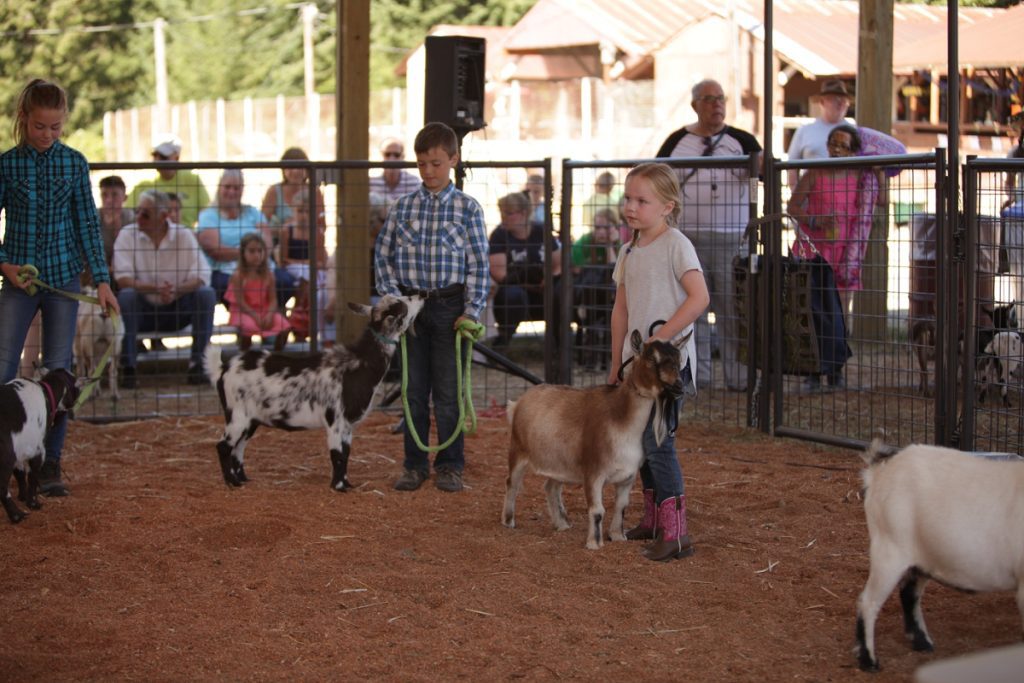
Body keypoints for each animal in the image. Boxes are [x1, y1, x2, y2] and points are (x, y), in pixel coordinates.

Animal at [0, 368, 79, 524]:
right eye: (74, 381)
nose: (79, 391)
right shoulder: (38, 452)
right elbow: (32, 478)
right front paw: (33, 503)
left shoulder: (20, 449)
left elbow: (20, 474)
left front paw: (22, 496)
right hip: (6, 457)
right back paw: (16, 515)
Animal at [205, 294, 421, 491]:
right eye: (404, 305)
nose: (422, 295)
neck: (358, 364)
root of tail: (223, 368)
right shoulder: (336, 421)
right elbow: (337, 455)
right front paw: (339, 487)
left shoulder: (347, 426)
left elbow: (346, 453)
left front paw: (347, 484)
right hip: (237, 416)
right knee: (223, 446)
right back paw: (231, 482)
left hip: (251, 420)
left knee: (238, 448)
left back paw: (242, 479)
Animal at [499, 331, 684, 548]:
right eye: (651, 359)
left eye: (679, 360)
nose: (679, 386)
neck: (621, 419)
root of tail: (518, 402)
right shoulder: (594, 472)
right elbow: (597, 510)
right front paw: (594, 543)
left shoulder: (628, 476)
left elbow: (621, 506)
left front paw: (618, 536)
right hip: (517, 450)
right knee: (512, 482)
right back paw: (508, 520)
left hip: (558, 463)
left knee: (551, 487)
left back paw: (562, 524)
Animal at [856, 440, 1024, 671]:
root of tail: (879, 469)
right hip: (889, 548)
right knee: (868, 601)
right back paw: (869, 661)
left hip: (921, 558)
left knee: (909, 594)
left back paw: (921, 642)